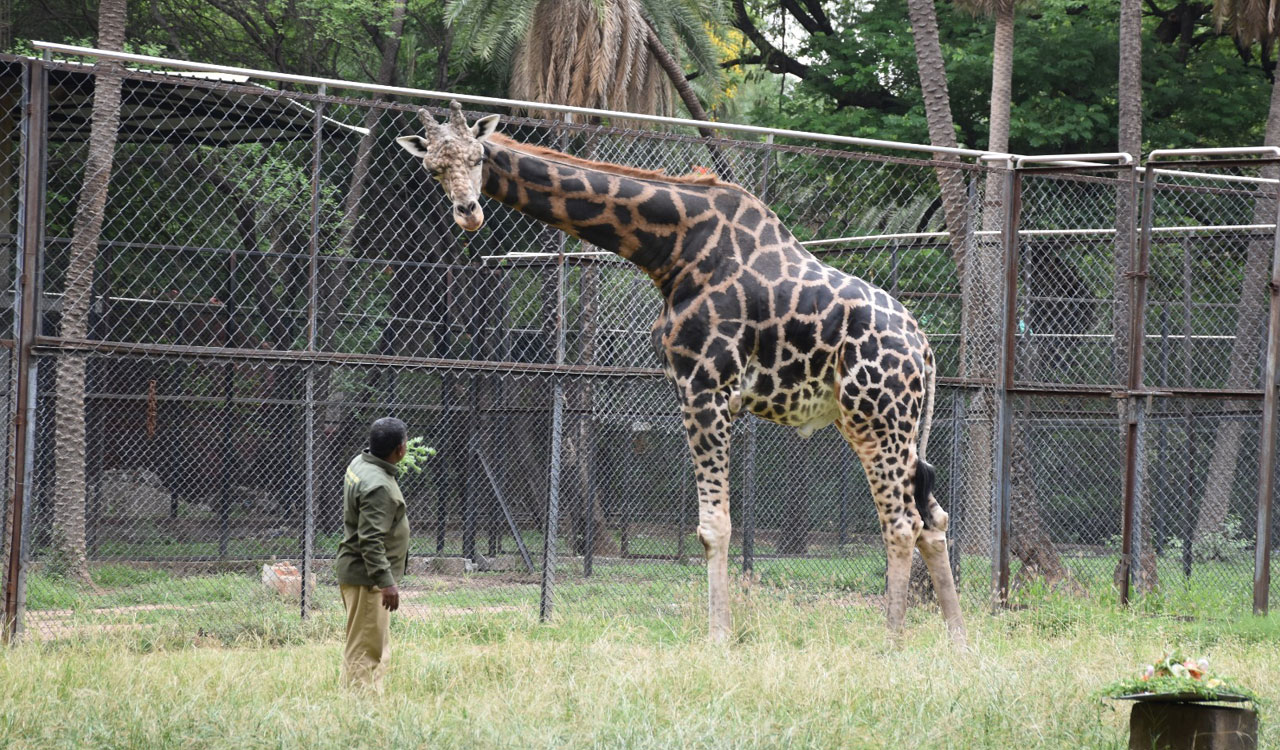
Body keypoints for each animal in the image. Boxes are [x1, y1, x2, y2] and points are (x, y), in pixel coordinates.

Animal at [397, 102, 967, 645]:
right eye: (432, 168)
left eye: (477, 156)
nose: (468, 212)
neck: (670, 250)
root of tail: (925, 350)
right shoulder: (693, 387)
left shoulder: (706, 385)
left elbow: (714, 526)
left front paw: (717, 638)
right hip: (894, 424)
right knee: (934, 518)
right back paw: (956, 642)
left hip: (876, 418)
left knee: (902, 522)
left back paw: (891, 641)